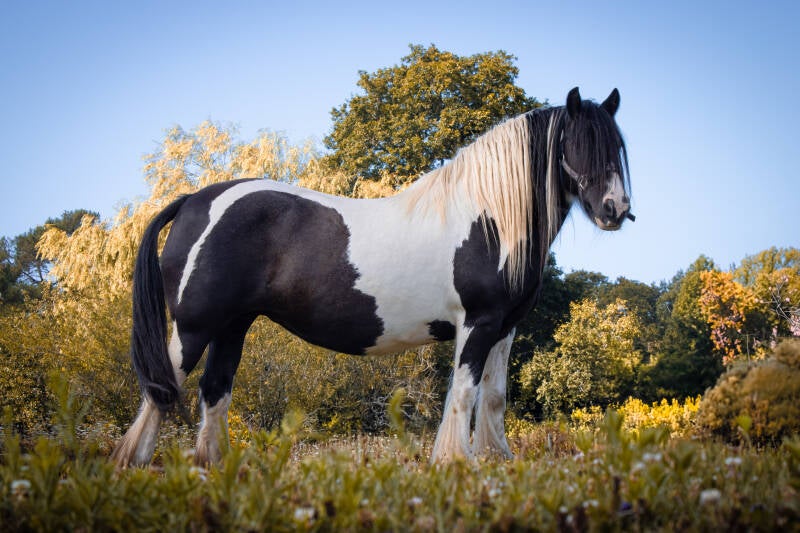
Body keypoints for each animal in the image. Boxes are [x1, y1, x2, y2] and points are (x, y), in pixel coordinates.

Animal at [111, 87, 632, 467]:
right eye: (578, 145)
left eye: (617, 147)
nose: (615, 209)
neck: (489, 220)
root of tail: (195, 200)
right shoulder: (477, 323)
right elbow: (464, 393)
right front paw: (455, 464)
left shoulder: (505, 328)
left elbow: (494, 397)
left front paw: (496, 460)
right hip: (192, 327)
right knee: (161, 391)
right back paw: (133, 464)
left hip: (233, 326)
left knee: (215, 391)